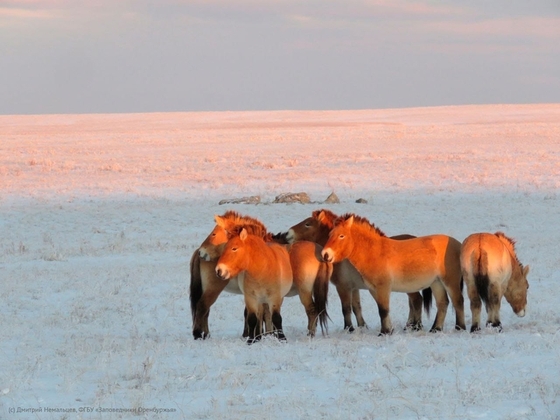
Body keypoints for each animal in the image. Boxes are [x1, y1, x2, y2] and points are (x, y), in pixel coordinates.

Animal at [191, 212, 332, 340]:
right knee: (203, 307)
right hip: (212, 289)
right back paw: (200, 334)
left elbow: (264, 314)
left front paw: (260, 335)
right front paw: (262, 335)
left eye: (213, 234)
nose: (201, 252)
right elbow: (263, 314)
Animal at [284, 209, 434, 332]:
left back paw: (416, 326)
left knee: (417, 301)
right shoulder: (354, 287)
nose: (287, 234)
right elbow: (356, 307)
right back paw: (409, 325)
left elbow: (346, 308)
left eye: (307, 224)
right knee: (413, 303)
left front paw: (348, 329)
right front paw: (362, 326)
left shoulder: (343, 286)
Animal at [320, 213, 464, 334]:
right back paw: (436, 329)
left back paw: (460, 328)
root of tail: (458, 244)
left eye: (341, 235)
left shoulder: (383, 287)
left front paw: (384, 332)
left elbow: (383, 310)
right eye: (330, 234)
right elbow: (383, 310)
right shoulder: (374, 289)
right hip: (436, 282)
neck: (375, 252)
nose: (325, 254)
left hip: (450, 281)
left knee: (458, 301)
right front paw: (389, 330)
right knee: (443, 303)